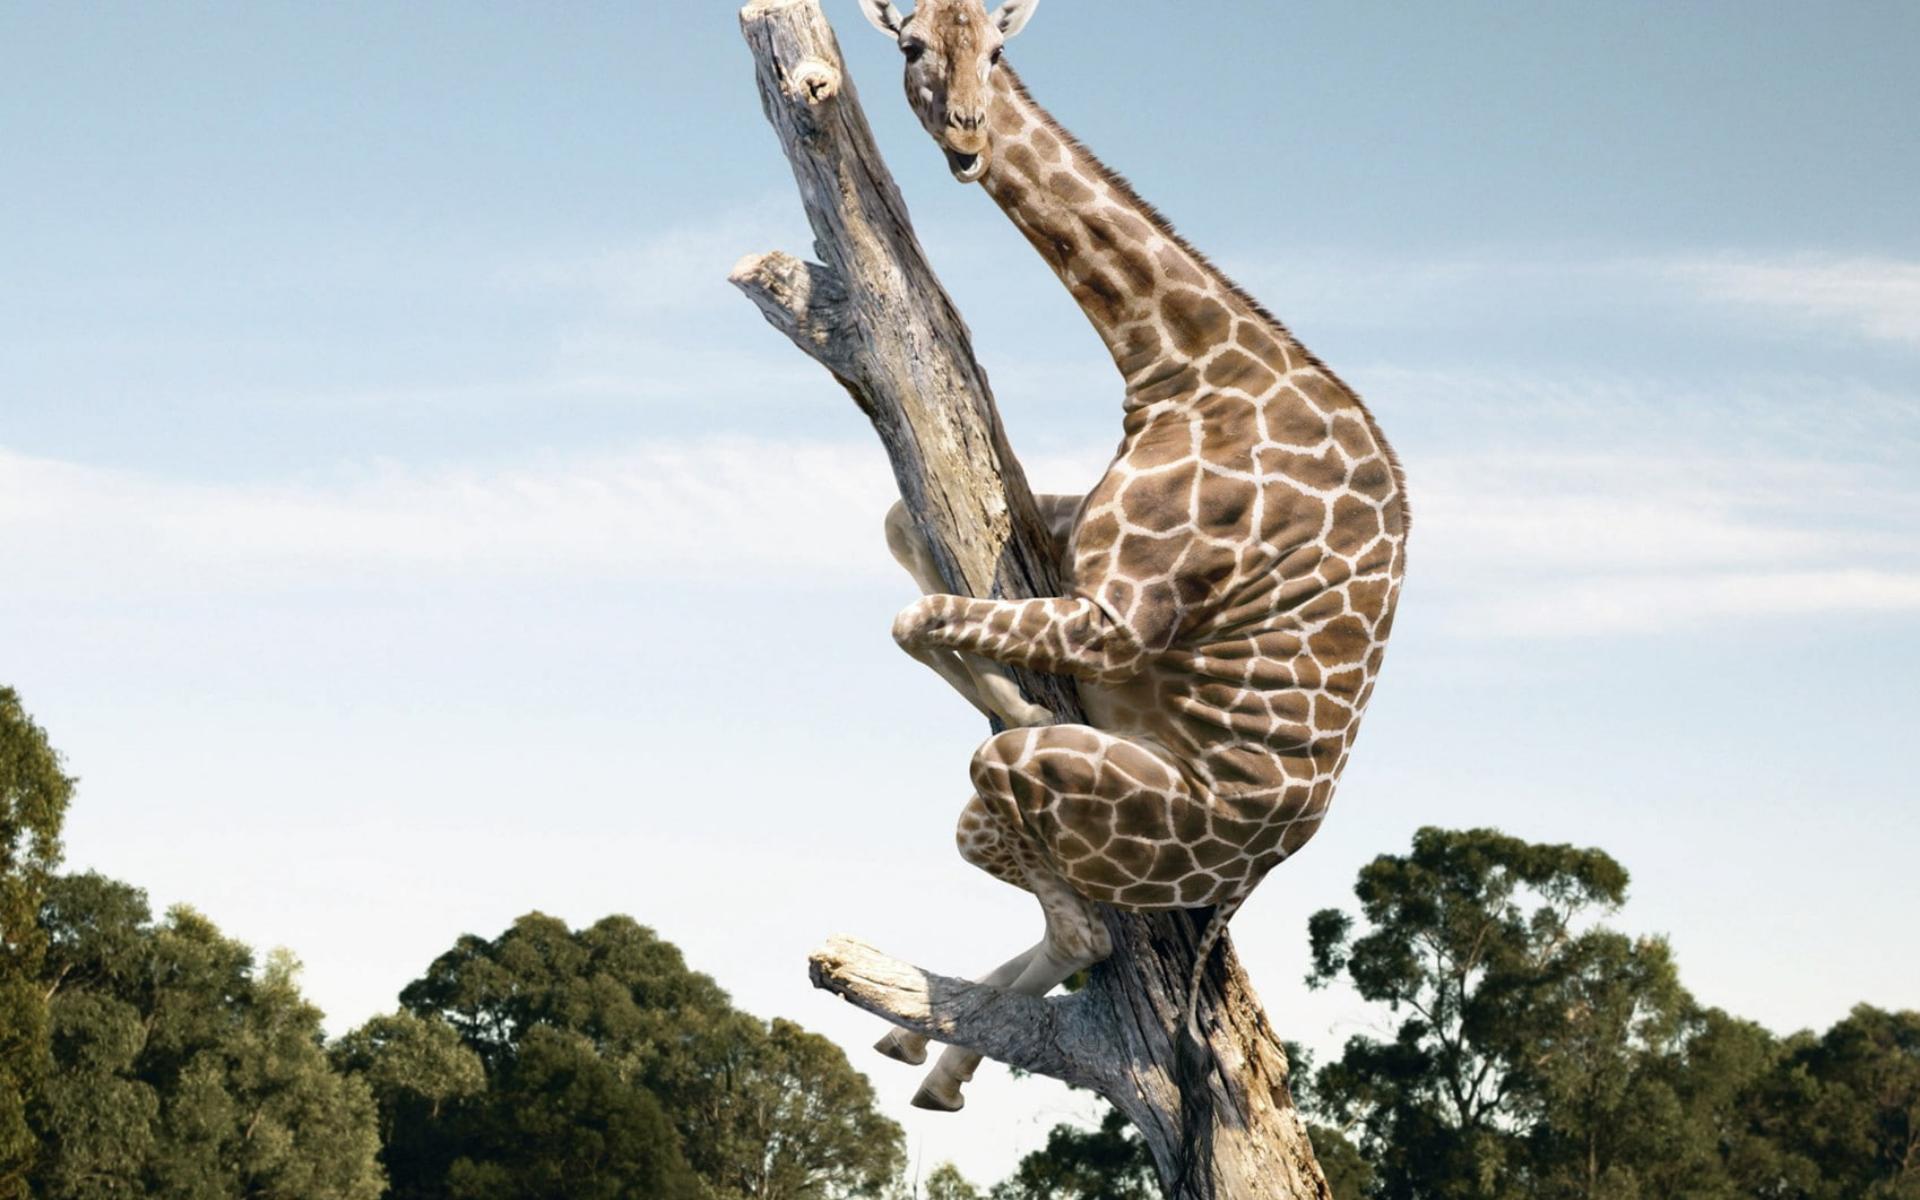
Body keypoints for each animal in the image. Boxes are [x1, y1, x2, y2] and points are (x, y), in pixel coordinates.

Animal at [860, 0, 1409, 1112]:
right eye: (911, 44)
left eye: (999, 49)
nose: (969, 141)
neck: (1182, 362)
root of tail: (1249, 876)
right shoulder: (1070, 542)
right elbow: (901, 535)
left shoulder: (1120, 619)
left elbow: (917, 615)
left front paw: (1020, 695)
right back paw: (925, 1054)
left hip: (1068, 803)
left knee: (1075, 919)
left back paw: (936, 1056)